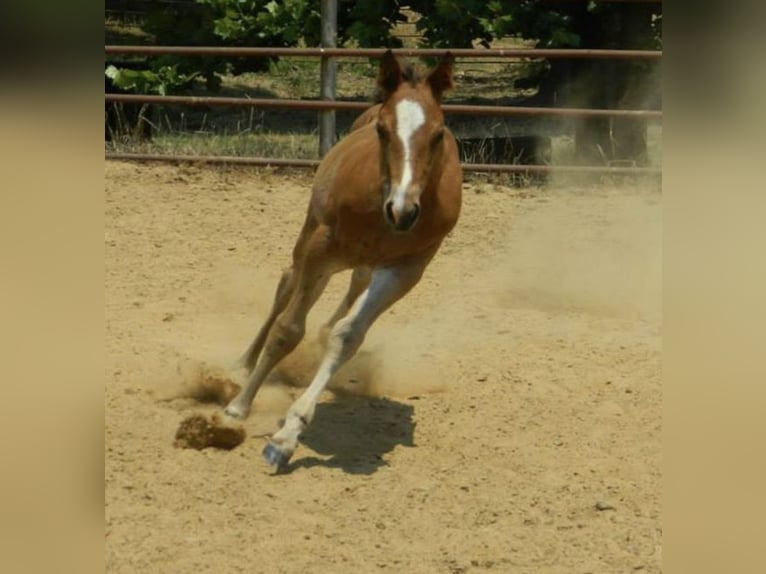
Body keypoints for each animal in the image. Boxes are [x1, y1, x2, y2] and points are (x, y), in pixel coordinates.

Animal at [222, 51, 462, 470]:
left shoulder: (406, 270)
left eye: (437, 134)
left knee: (352, 287)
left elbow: (347, 336)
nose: (403, 211)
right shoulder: (323, 248)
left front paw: (287, 437)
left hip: (364, 261)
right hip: (311, 234)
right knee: (287, 283)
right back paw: (244, 364)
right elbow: (287, 330)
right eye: (383, 130)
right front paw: (240, 406)